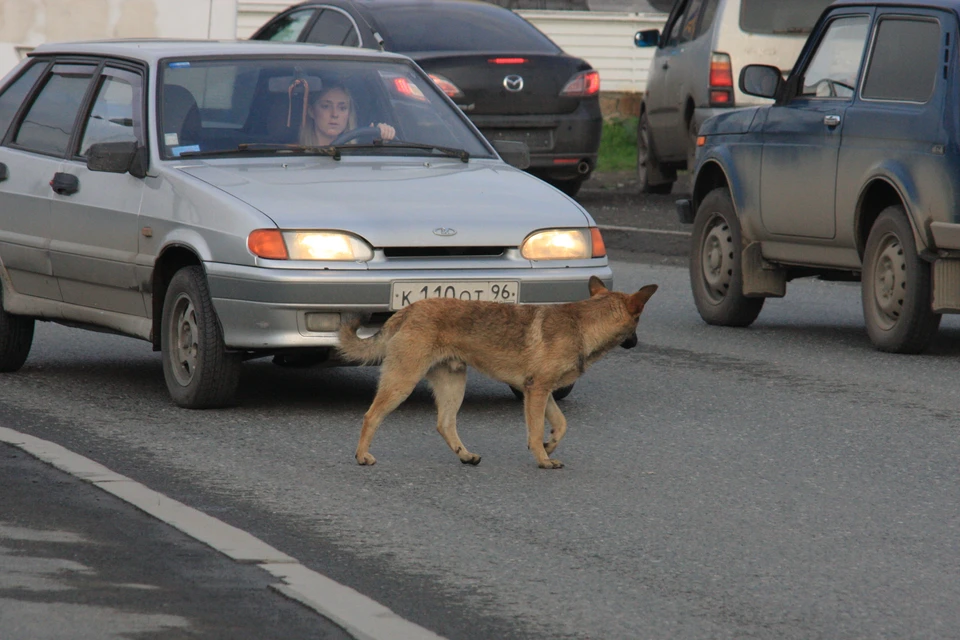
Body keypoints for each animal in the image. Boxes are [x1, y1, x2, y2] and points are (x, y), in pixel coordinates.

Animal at [338, 276, 660, 470]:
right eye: (638, 322)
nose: (636, 343)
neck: (582, 325)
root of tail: (408, 310)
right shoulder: (537, 391)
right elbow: (536, 431)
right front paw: (543, 458)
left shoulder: (542, 392)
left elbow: (561, 424)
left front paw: (550, 446)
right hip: (402, 382)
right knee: (371, 416)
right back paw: (362, 455)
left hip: (453, 386)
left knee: (445, 424)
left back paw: (465, 455)